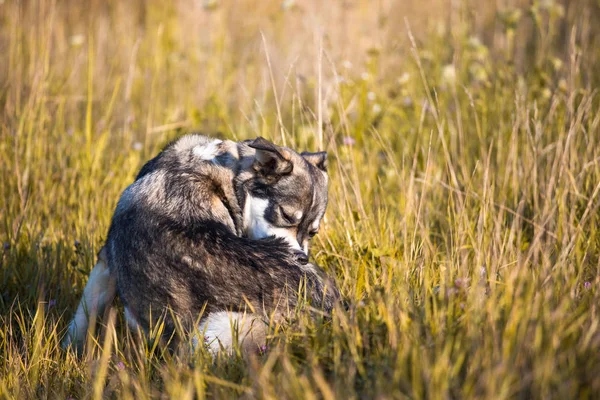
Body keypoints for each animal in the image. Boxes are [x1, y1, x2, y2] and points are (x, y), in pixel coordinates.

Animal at [64, 134, 342, 354]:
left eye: (312, 233)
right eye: (285, 215)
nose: (301, 259)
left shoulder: (106, 262)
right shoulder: (106, 264)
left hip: (217, 328)